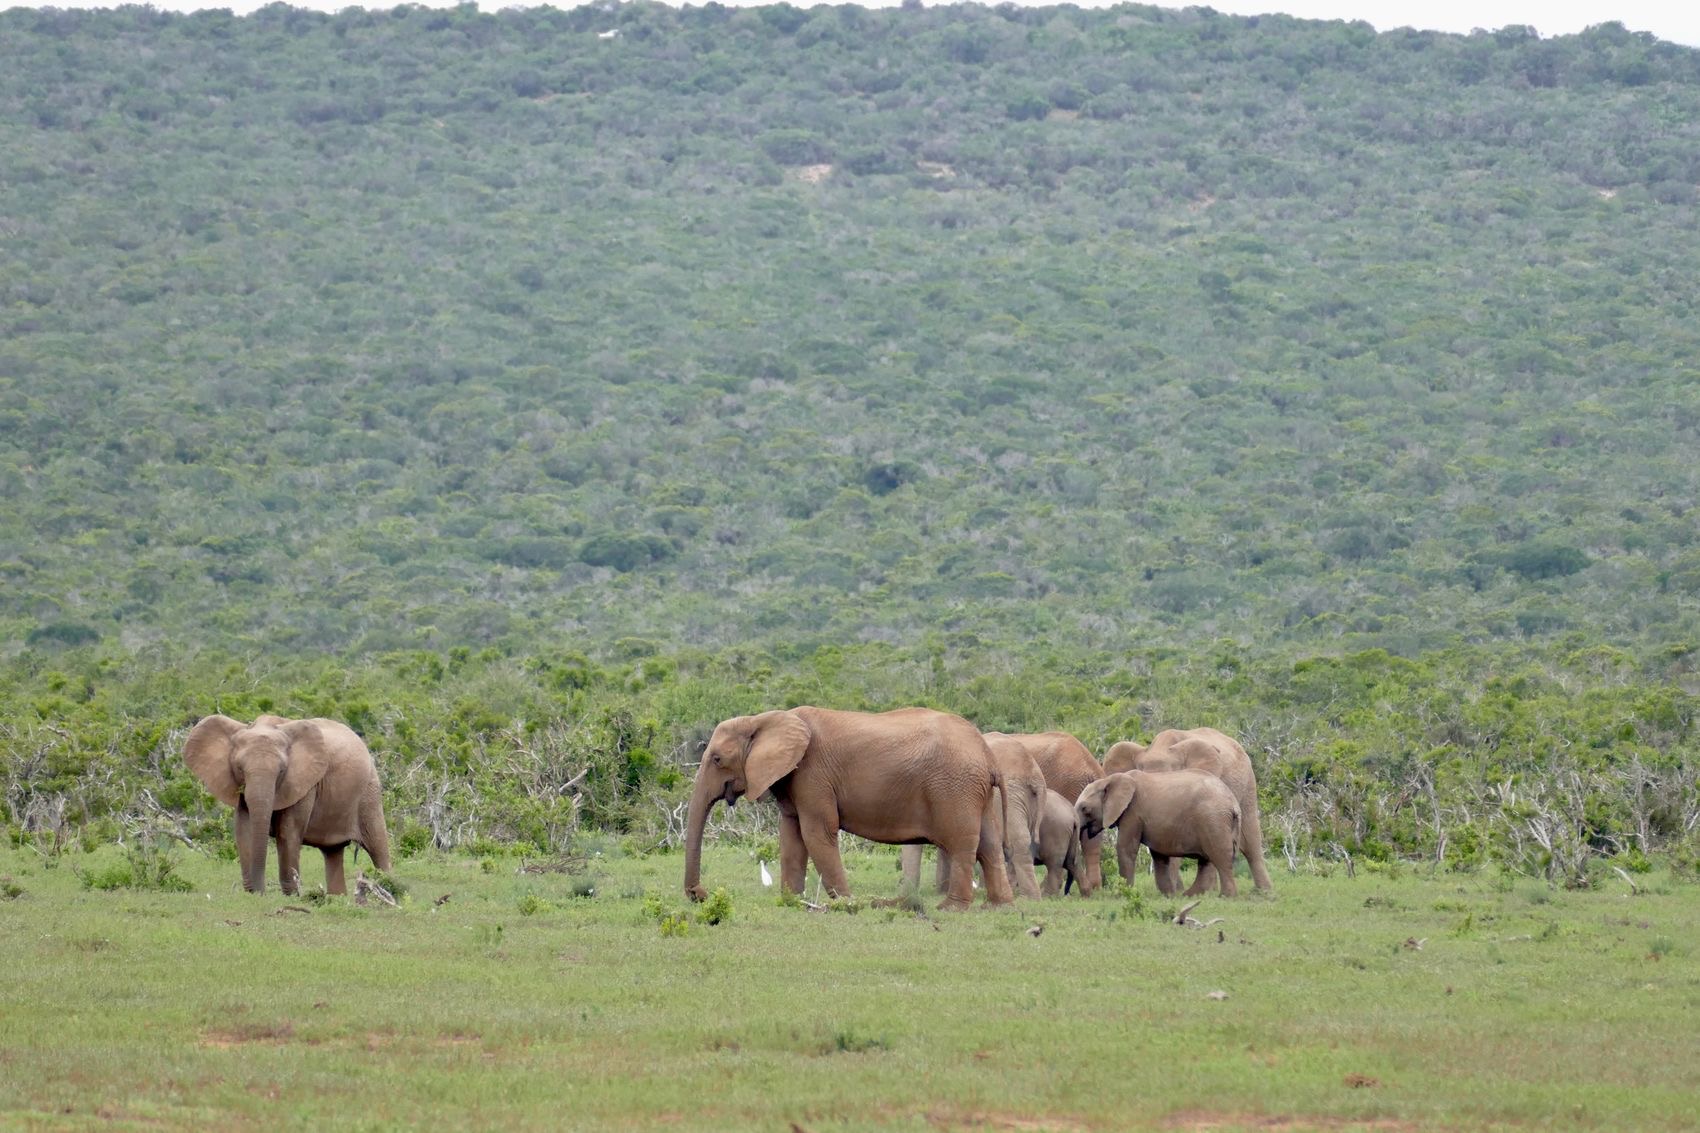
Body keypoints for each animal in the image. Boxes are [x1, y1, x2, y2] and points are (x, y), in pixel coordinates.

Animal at [183, 714, 392, 895]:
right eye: (240, 768)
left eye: (282, 771)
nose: (260, 893)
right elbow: (245, 829)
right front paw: (252, 893)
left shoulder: (304, 784)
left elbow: (287, 832)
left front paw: (291, 896)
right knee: (333, 851)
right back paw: (337, 899)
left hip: (369, 792)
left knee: (378, 846)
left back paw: (389, 890)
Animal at [684, 706, 1014, 911]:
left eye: (717, 759)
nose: (700, 895)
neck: (763, 719)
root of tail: (987, 753)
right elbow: (791, 837)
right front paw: (790, 901)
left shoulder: (813, 774)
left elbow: (817, 833)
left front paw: (847, 902)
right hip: (973, 791)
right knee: (989, 845)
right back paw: (998, 906)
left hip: (955, 787)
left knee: (961, 843)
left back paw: (950, 909)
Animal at [900, 731, 1047, 899]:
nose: (905, 894)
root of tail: (1034, 774)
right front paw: (942, 892)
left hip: (1011, 797)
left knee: (1017, 840)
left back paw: (1027, 897)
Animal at [1075, 770, 1242, 897]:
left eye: (1084, 809)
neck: (1109, 779)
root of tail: (1233, 803)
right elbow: (1159, 855)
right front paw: (1168, 896)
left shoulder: (1132, 813)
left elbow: (1125, 849)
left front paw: (1121, 894)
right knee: (1206, 860)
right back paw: (1188, 896)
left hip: (1213, 820)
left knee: (1220, 856)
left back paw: (1226, 897)